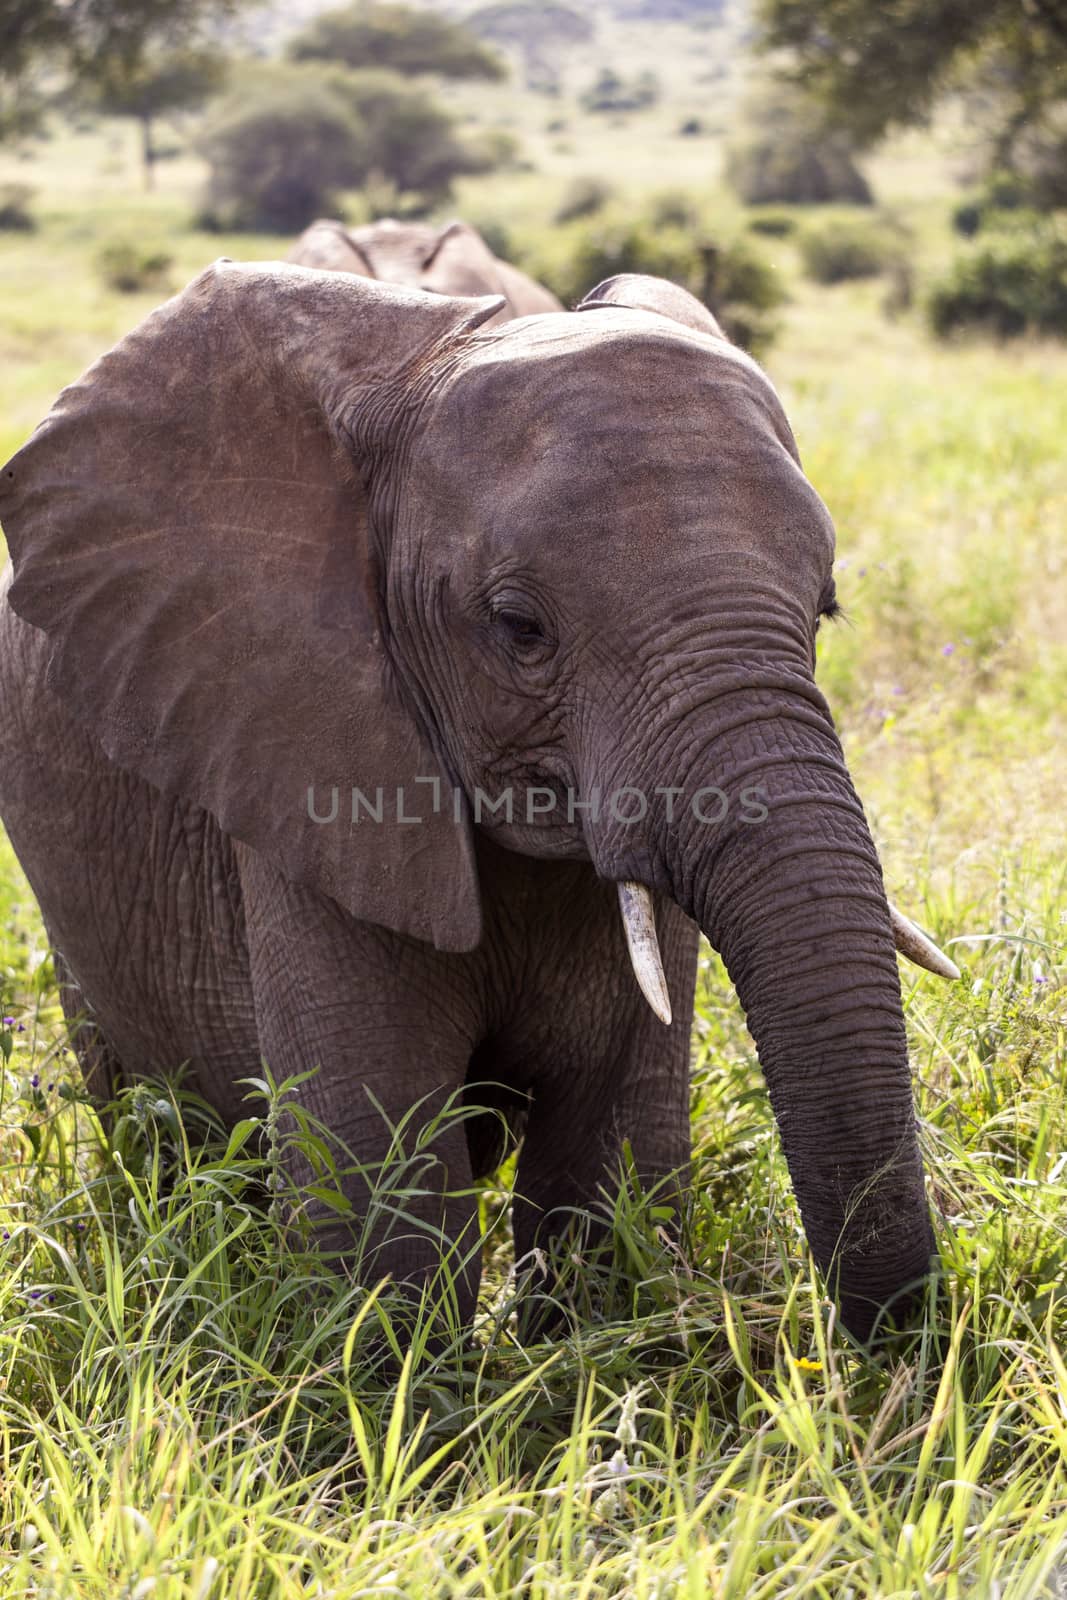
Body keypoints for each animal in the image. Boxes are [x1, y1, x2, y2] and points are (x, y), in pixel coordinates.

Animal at [0, 262, 959, 1337]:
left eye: (824, 609)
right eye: (517, 627)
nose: (895, 1340)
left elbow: (609, 1165)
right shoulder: (303, 759)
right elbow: (382, 1210)